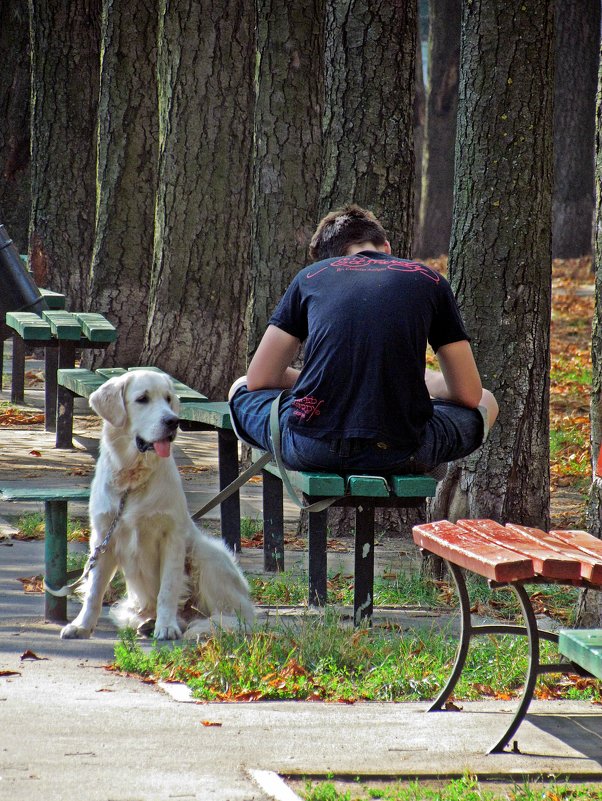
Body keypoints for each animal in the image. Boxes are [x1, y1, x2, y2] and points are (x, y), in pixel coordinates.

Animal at [58, 372, 251, 640]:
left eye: (168, 399)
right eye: (142, 399)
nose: (173, 421)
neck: (132, 480)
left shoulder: (172, 536)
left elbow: (168, 589)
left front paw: (166, 626)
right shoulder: (103, 538)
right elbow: (94, 590)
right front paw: (82, 626)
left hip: (206, 554)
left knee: (235, 617)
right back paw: (151, 622)